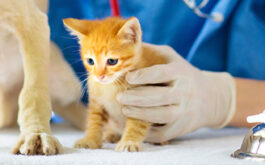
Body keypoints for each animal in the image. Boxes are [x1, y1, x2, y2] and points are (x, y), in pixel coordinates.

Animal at [63, 17, 166, 152]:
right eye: (90, 61)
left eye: (112, 61)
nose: (99, 76)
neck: (112, 85)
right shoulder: (96, 101)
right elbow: (94, 120)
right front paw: (90, 139)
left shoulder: (142, 101)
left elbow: (136, 124)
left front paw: (129, 141)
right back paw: (111, 134)